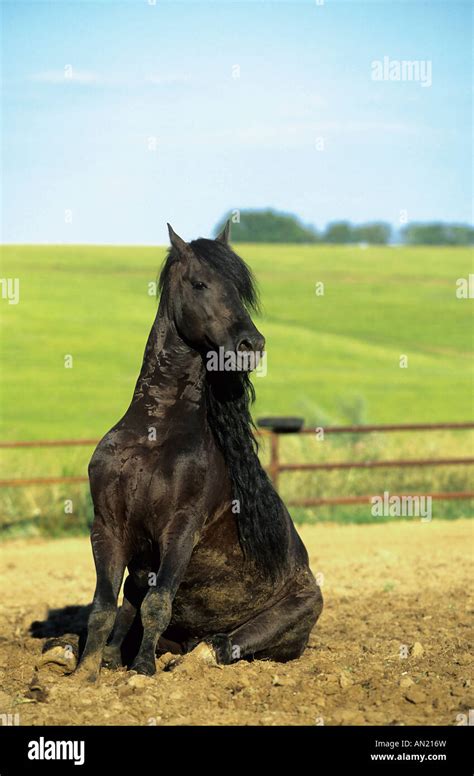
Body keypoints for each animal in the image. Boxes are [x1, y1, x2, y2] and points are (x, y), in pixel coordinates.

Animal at [77, 220, 322, 680]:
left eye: (240, 289)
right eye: (199, 283)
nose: (251, 345)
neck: (156, 431)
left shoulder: (181, 529)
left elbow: (158, 604)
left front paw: (143, 672)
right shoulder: (107, 527)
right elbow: (102, 609)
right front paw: (83, 674)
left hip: (293, 612)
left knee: (221, 645)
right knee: (128, 609)